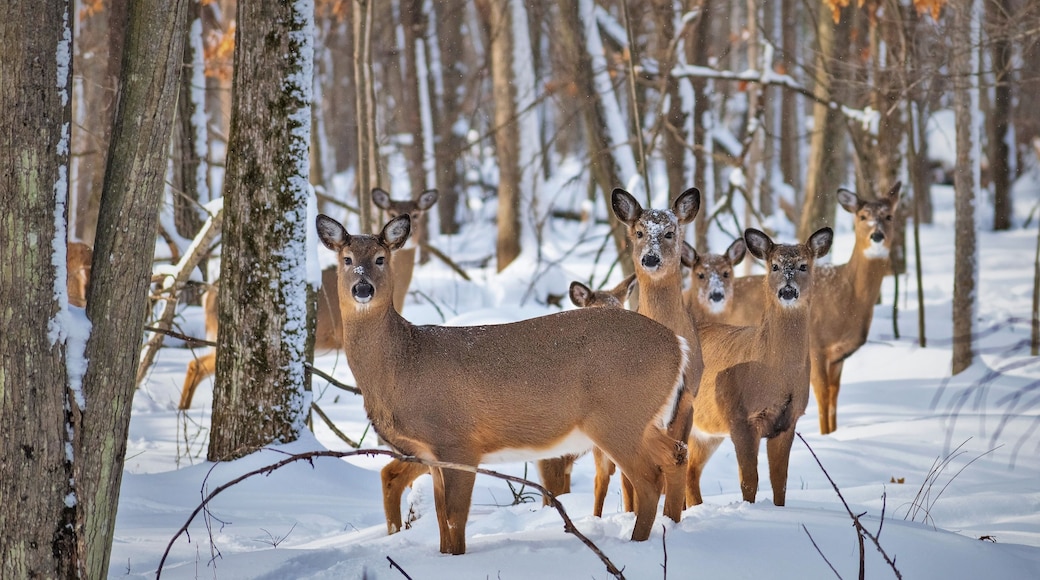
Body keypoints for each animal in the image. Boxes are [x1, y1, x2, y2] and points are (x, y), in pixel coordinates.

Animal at [316, 213, 691, 555]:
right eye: (347, 259)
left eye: (381, 258)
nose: (362, 288)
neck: (403, 364)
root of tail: (678, 345)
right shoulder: (431, 453)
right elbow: (439, 519)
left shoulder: (458, 442)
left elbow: (454, 516)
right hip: (642, 421)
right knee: (675, 455)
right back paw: (671, 526)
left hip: (618, 417)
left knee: (648, 478)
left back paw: (636, 544)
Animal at [687, 227, 833, 507]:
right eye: (774, 265)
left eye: (803, 265)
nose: (787, 288)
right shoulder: (740, 417)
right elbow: (749, 480)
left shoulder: (787, 422)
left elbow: (780, 480)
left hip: (705, 432)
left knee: (689, 472)